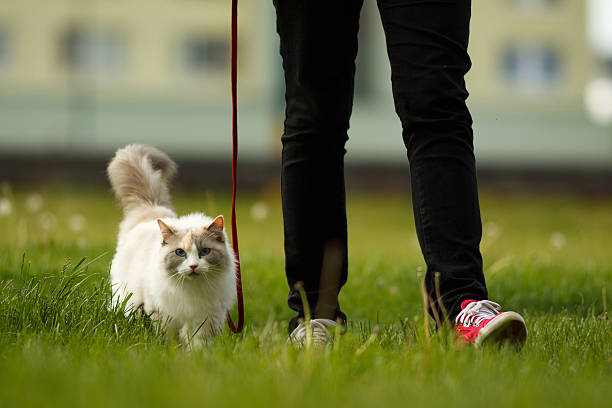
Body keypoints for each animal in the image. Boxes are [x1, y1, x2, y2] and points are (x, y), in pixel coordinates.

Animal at [107, 145, 237, 346]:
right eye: (180, 253)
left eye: (205, 252)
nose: (193, 266)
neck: (192, 291)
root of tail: (151, 209)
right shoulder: (164, 314)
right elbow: (168, 338)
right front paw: (169, 350)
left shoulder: (205, 318)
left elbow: (197, 342)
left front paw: (195, 353)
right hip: (129, 299)